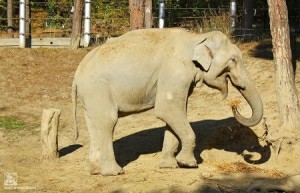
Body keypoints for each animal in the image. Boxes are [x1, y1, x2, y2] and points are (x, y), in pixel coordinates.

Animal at [72, 27, 262, 176]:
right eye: (233, 60)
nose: (234, 105)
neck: (196, 37)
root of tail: (76, 75)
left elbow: (175, 113)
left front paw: (169, 166)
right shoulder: (176, 71)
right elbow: (167, 110)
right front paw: (188, 164)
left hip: (91, 96)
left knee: (94, 124)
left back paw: (96, 171)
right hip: (98, 89)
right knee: (108, 121)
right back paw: (115, 172)